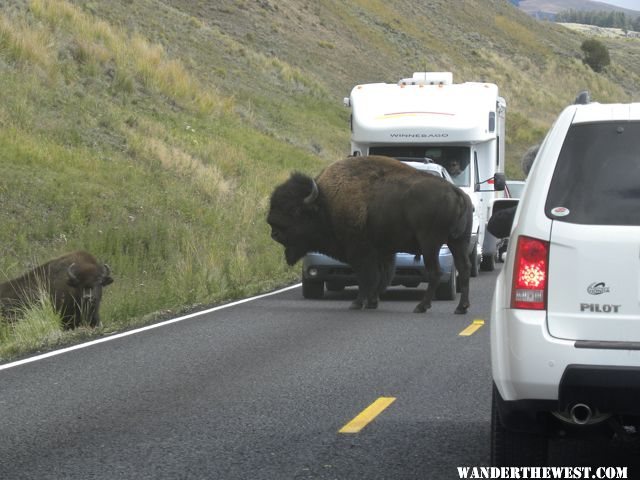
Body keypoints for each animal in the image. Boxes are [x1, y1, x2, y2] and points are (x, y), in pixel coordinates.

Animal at [268, 155, 472, 316]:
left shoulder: (359, 251)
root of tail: (456, 192)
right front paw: (372, 302)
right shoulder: (383, 252)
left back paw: (421, 306)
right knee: (464, 269)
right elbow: (380, 277)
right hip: (458, 241)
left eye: (295, 210)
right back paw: (461, 308)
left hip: (430, 244)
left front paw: (357, 303)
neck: (326, 203)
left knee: (435, 272)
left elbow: (366, 277)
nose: (274, 232)